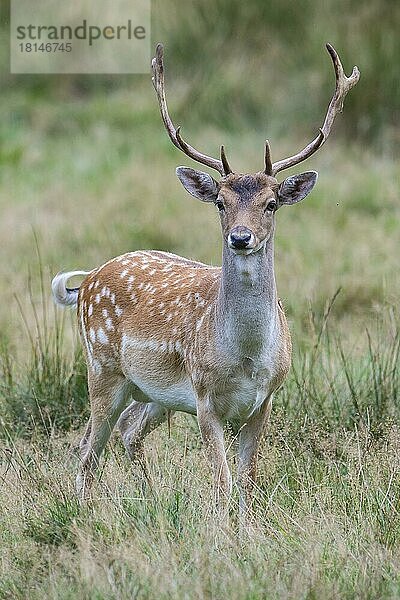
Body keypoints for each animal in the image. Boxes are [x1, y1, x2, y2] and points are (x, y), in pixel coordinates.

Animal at [51, 42, 360, 524]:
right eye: (220, 202)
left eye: (271, 203)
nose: (241, 237)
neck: (246, 358)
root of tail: (84, 284)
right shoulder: (203, 397)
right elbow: (222, 484)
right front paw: (221, 531)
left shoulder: (266, 399)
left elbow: (247, 483)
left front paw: (248, 531)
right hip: (102, 369)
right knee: (86, 451)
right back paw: (85, 515)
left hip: (152, 393)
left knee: (126, 431)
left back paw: (151, 499)